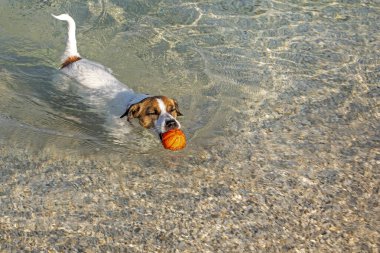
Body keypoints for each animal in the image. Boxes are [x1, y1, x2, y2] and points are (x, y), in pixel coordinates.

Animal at [52, 13, 183, 140]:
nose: (171, 122)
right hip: (61, 84)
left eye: (172, 109)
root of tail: (73, 59)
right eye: (152, 113)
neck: (129, 106)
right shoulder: (116, 130)